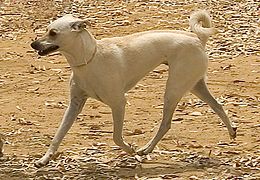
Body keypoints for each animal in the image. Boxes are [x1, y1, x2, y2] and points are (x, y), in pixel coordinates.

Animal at [31, 10, 238, 167]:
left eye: (53, 33)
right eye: (47, 30)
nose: (33, 44)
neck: (89, 59)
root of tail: (197, 37)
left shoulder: (119, 104)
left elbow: (116, 137)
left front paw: (130, 150)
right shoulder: (74, 105)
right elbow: (58, 134)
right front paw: (44, 159)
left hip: (173, 90)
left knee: (166, 124)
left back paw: (145, 149)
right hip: (195, 86)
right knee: (218, 106)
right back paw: (231, 131)